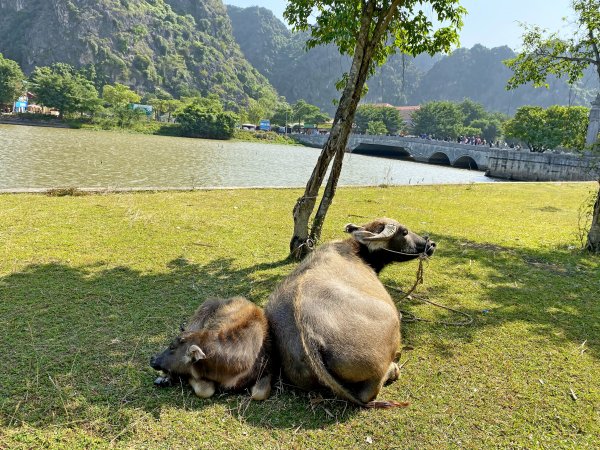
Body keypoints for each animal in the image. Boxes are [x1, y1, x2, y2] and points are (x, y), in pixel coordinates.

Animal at [264, 218, 434, 408]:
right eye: (404, 232)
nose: (431, 244)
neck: (358, 252)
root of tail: (309, 336)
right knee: (369, 393)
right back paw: (394, 369)